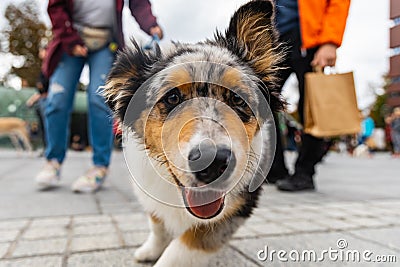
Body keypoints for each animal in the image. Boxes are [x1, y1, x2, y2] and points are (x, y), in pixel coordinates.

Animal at [103, 1, 284, 266]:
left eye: (237, 98)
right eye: (172, 97)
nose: (213, 162)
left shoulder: (234, 209)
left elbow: (182, 249)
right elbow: (157, 223)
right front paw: (148, 251)